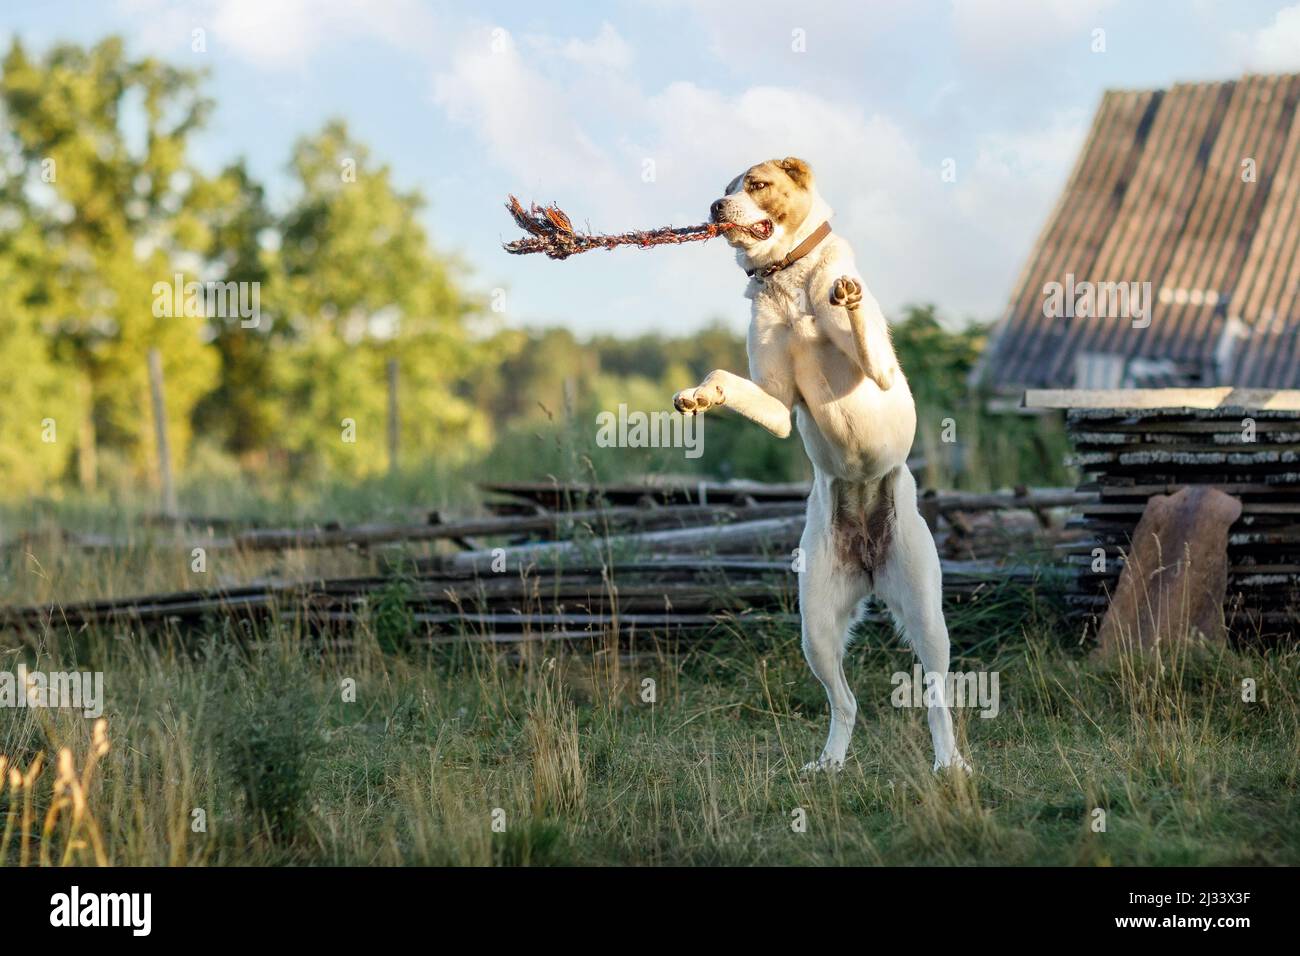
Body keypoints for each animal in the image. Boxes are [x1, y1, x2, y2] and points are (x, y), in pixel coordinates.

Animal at [681, 155, 967, 770]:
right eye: (723, 189)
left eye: (756, 184)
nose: (715, 208)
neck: (787, 276)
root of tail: (869, 561)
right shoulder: (775, 406)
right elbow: (725, 379)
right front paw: (701, 396)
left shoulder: (879, 373)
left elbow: (863, 336)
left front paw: (847, 295)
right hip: (814, 627)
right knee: (846, 702)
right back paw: (829, 764)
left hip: (927, 618)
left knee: (937, 700)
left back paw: (948, 763)